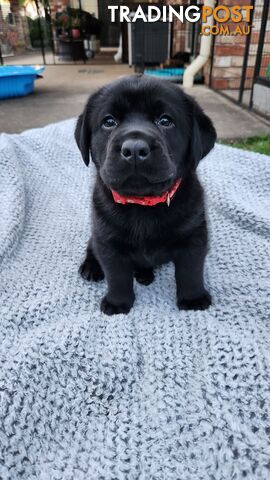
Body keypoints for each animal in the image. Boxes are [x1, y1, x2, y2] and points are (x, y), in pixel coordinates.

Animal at [75, 75, 216, 316]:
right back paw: (91, 267)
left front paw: (193, 298)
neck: (143, 204)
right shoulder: (108, 241)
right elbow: (117, 276)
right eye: (109, 122)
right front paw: (118, 302)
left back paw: (144, 274)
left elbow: (191, 272)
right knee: (91, 246)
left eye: (165, 121)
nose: (134, 149)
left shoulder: (194, 238)